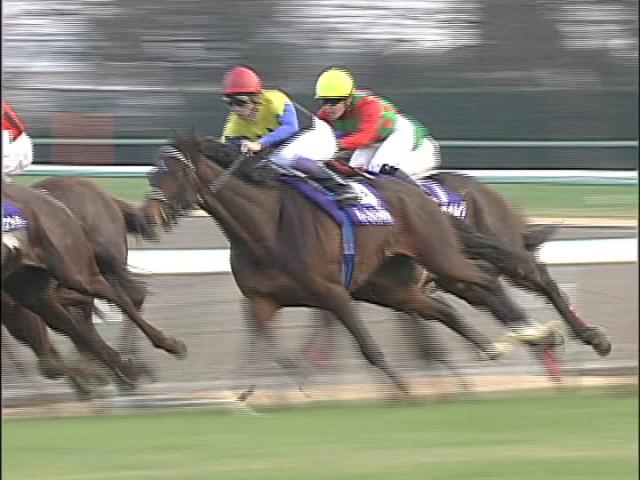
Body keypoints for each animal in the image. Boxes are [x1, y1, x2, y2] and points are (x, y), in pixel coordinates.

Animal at [1, 182, 185, 388]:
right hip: (32, 289)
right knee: (80, 325)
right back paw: (120, 368)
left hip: (76, 269)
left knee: (123, 296)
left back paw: (161, 348)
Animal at [142, 136, 524, 398]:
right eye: (152, 174)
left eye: (175, 173)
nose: (147, 220)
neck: (266, 227)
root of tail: (416, 192)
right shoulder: (263, 302)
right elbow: (269, 351)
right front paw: (255, 393)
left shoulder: (332, 292)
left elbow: (368, 347)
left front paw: (403, 390)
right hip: (391, 288)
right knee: (445, 309)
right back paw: (492, 349)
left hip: (438, 257)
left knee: (484, 277)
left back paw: (526, 331)